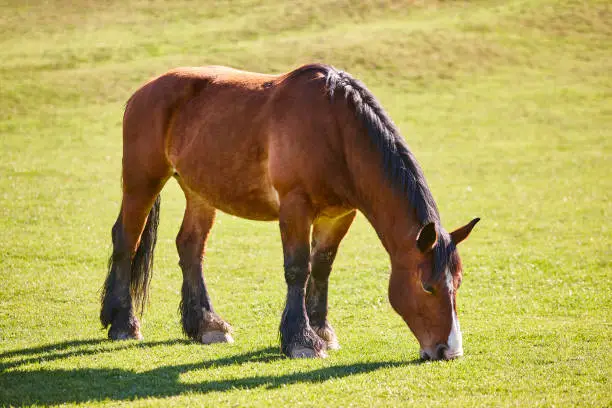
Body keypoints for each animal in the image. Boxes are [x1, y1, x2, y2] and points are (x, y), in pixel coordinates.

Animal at [100, 62, 480, 358]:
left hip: (200, 192)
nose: (449, 351)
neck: (336, 131)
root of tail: (143, 91)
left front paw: (321, 329)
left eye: (458, 283)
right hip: (142, 182)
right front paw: (301, 339)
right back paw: (123, 323)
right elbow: (298, 268)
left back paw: (207, 324)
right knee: (126, 240)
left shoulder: (339, 215)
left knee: (190, 247)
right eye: (427, 286)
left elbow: (322, 268)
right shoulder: (295, 208)